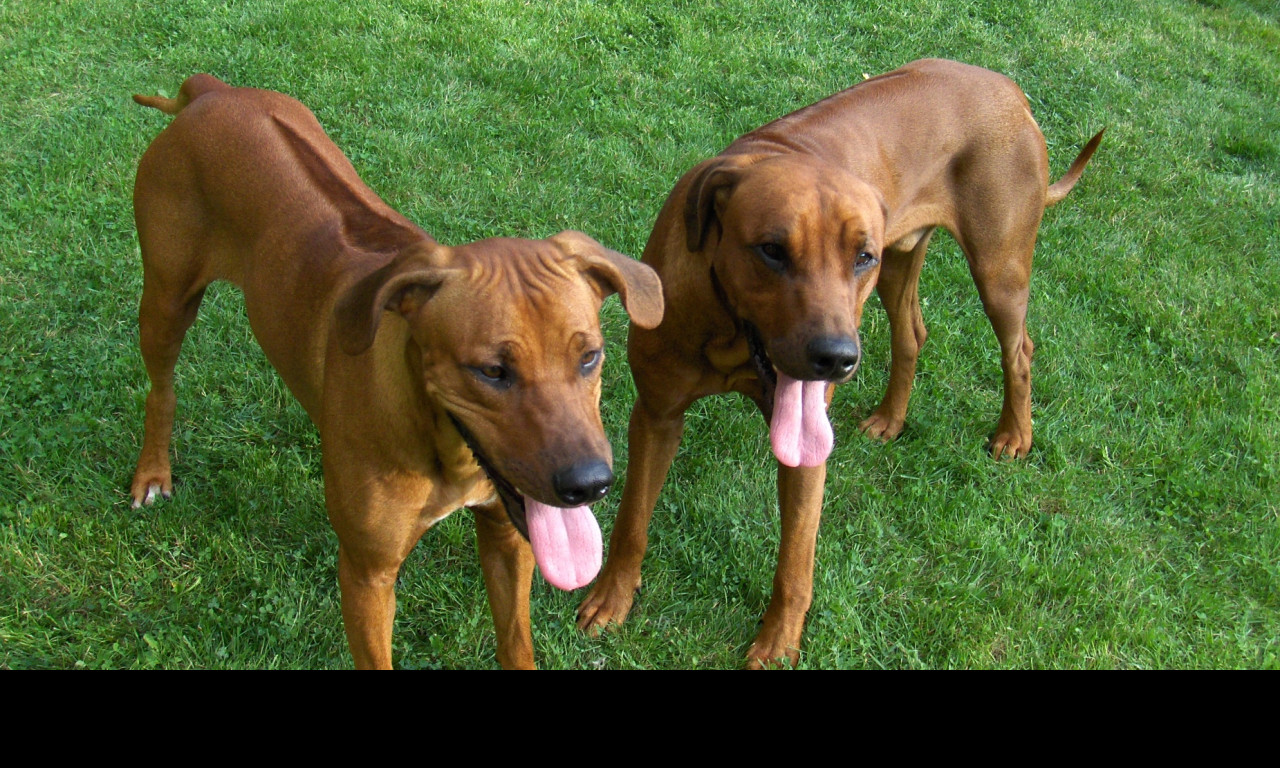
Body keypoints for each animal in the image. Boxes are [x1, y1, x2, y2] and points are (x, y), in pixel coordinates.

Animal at [131, 74, 665, 670]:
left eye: (590, 356)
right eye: (492, 371)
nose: (590, 485)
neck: (445, 448)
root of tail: (212, 91)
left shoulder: (509, 533)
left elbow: (516, 642)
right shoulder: (367, 575)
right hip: (166, 298)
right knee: (160, 387)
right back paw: (151, 473)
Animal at [578, 58, 1100, 665]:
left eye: (858, 258)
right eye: (771, 250)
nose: (836, 359)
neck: (729, 332)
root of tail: (1008, 89)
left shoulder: (806, 445)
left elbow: (795, 563)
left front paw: (778, 642)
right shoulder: (657, 413)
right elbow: (632, 519)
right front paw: (613, 597)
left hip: (995, 266)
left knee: (1018, 350)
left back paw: (1014, 434)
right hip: (903, 262)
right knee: (912, 334)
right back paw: (892, 418)